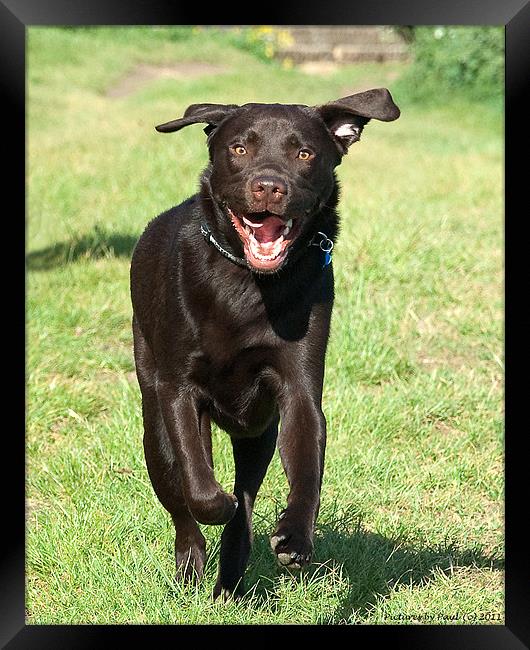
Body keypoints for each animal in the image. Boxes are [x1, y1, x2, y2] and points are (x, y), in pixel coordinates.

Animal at [130, 87, 398, 596]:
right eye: (239, 149)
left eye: (305, 154)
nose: (270, 187)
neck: (247, 283)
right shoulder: (178, 390)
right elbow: (196, 481)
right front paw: (215, 505)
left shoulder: (297, 389)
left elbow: (307, 464)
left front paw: (294, 537)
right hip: (153, 422)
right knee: (179, 497)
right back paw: (192, 566)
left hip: (258, 433)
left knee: (245, 497)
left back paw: (231, 578)